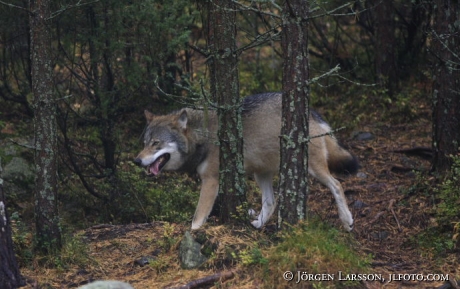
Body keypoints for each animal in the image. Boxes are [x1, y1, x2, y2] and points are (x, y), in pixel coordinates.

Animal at [135, 91, 358, 231]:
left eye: (156, 143)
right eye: (145, 143)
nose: (136, 160)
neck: (202, 136)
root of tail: (311, 112)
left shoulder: (211, 180)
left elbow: (197, 217)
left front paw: (192, 233)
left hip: (314, 169)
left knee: (337, 185)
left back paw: (347, 221)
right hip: (261, 174)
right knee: (271, 202)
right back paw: (258, 224)